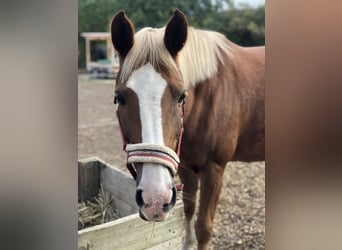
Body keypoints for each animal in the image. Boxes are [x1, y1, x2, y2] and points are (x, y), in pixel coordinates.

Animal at [110, 9, 264, 250]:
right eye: (119, 97)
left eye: (181, 95)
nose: (154, 199)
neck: (208, 96)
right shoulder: (186, 167)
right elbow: (188, 213)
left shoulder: (214, 169)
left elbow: (203, 228)